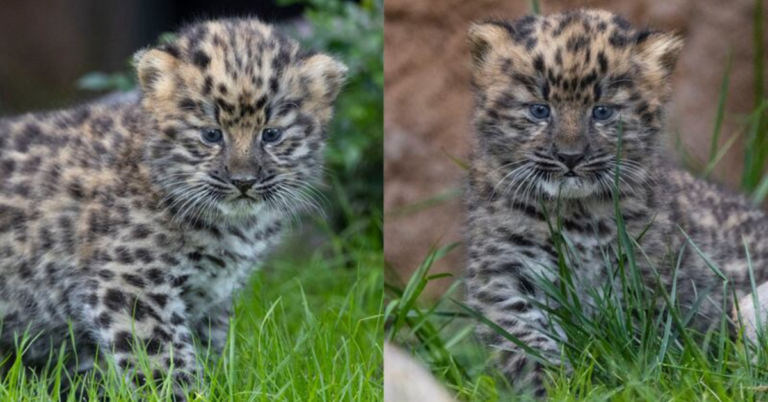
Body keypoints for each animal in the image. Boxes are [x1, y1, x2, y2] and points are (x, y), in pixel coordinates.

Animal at [0, 17, 346, 399]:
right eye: (211, 135)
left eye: (271, 135)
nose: (243, 181)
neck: (234, 227)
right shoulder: (130, 283)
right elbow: (161, 357)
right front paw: (184, 394)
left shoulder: (210, 296)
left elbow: (205, 347)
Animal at [464, 9, 768, 397]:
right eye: (539, 110)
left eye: (603, 112)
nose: (570, 157)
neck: (575, 215)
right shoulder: (509, 277)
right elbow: (527, 346)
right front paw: (559, 388)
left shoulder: (641, 278)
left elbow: (637, 345)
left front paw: (628, 383)